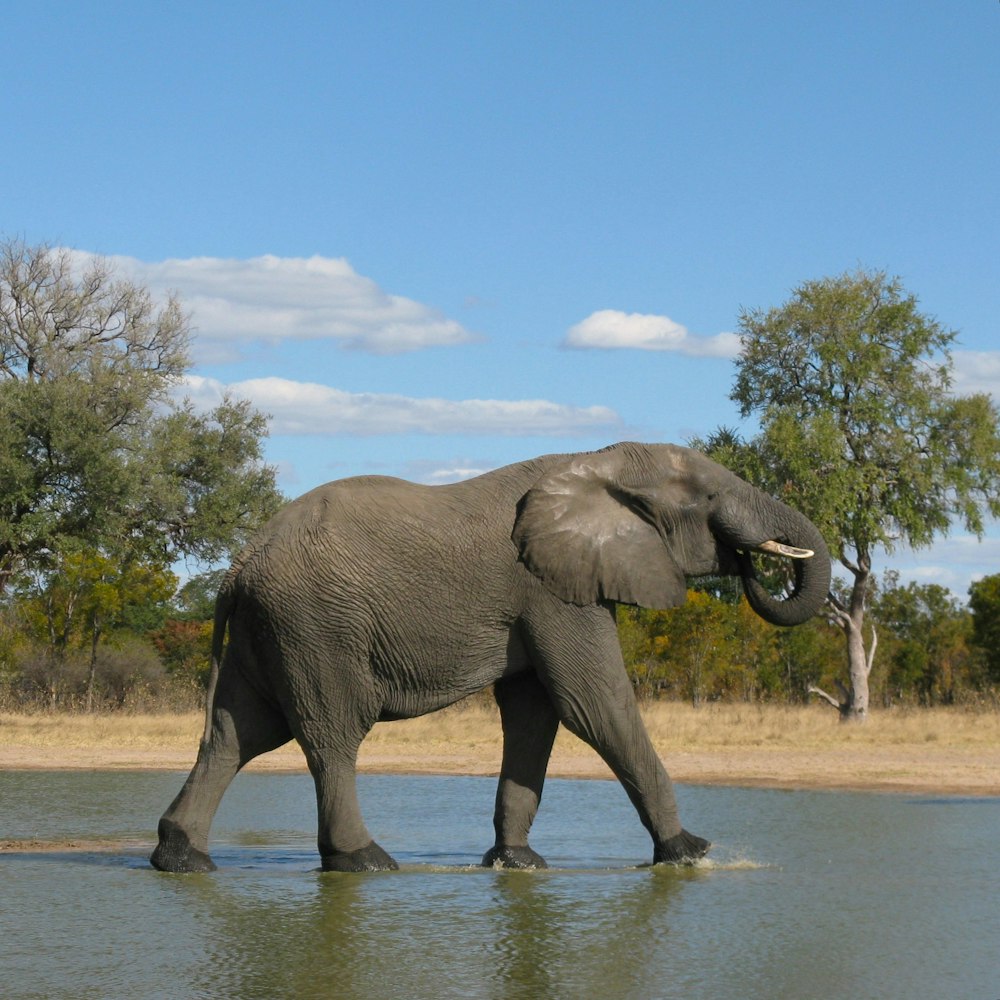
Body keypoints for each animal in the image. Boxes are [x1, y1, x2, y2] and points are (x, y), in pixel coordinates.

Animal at [152, 442, 832, 872]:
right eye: (711, 496)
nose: (753, 559)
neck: (600, 460)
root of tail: (239, 566)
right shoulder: (551, 590)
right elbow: (594, 705)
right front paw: (690, 853)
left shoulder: (546, 593)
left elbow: (536, 715)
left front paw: (516, 864)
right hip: (315, 626)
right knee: (331, 735)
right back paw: (365, 862)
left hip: (269, 630)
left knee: (237, 734)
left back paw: (181, 859)